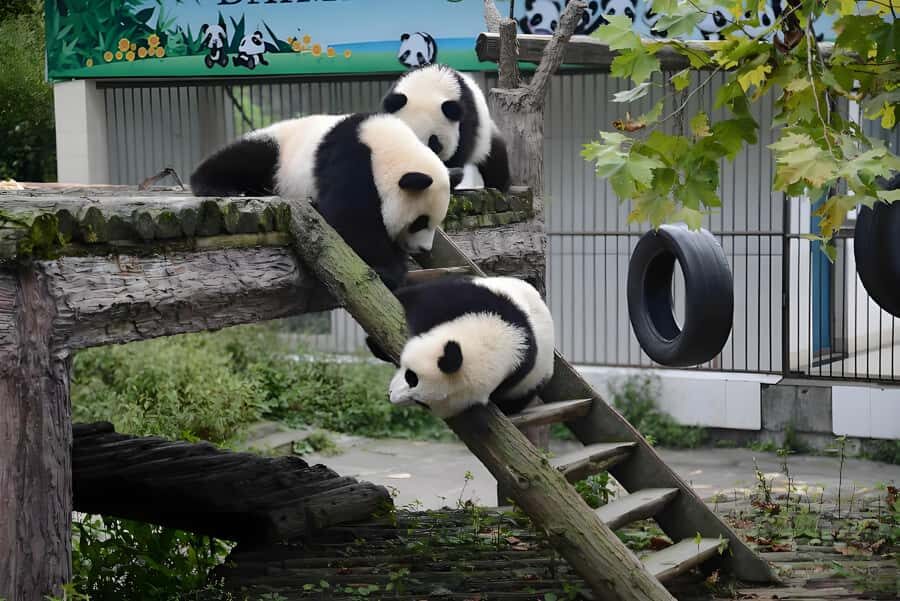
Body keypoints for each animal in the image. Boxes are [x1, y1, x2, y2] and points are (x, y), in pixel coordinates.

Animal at [189, 113, 450, 290]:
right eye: (420, 222)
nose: (424, 249)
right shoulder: (351, 159)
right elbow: (350, 217)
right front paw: (388, 271)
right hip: (278, 152)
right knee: (246, 157)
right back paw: (222, 186)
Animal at [380, 276, 555, 418]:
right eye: (411, 377)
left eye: (421, 403)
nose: (390, 396)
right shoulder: (465, 300)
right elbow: (416, 296)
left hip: (535, 381)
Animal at [382, 64, 511, 193]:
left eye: (434, 144)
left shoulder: (466, 119)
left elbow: (457, 153)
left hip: (485, 138)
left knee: (495, 159)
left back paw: (498, 186)